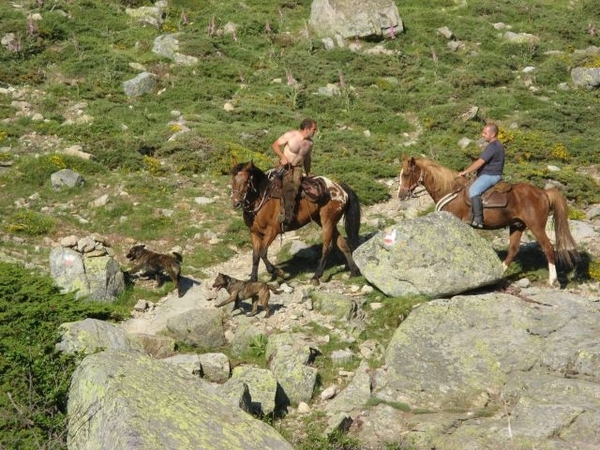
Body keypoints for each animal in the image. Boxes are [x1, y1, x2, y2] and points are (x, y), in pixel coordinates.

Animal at [230, 162, 360, 284]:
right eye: (233, 180)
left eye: (246, 181)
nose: (236, 203)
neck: (263, 201)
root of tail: (340, 189)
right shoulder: (254, 232)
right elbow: (255, 256)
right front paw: (253, 279)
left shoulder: (272, 230)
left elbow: (262, 252)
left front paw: (279, 272)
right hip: (327, 221)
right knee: (343, 244)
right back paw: (354, 272)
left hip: (327, 221)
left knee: (327, 247)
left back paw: (316, 276)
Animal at [396, 157, 580, 284]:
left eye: (406, 173)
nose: (401, 195)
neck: (450, 191)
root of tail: (544, 193)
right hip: (517, 226)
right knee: (513, 250)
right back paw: (498, 271)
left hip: (536, 226)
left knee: (548, 248)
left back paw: (552, 280)